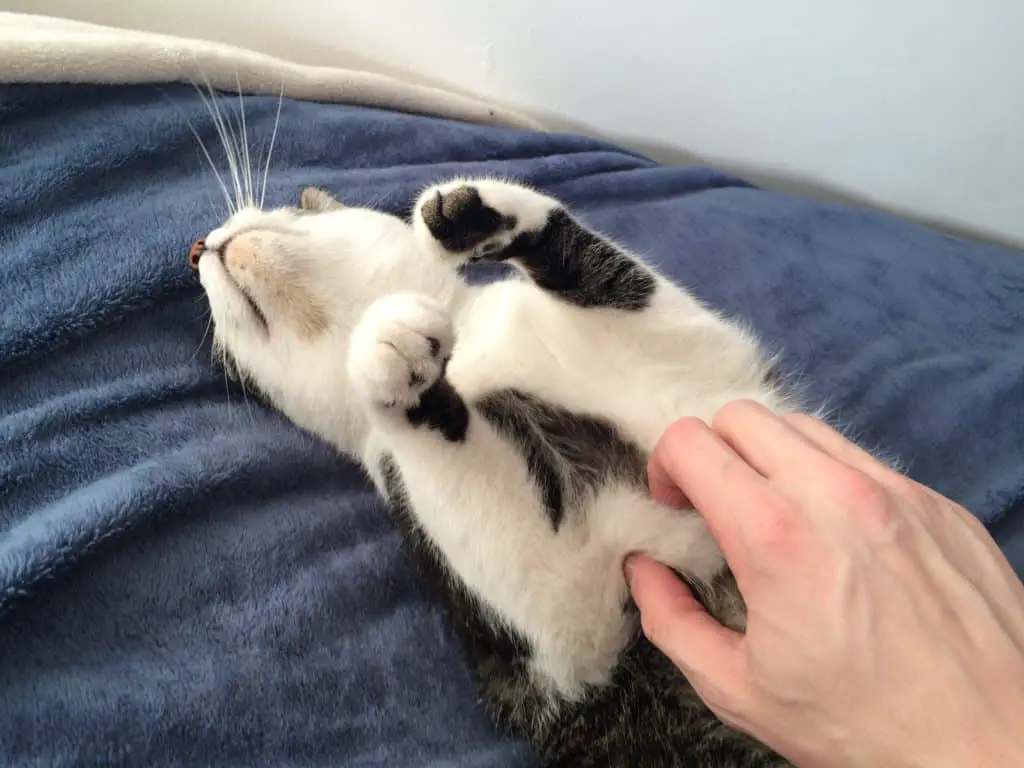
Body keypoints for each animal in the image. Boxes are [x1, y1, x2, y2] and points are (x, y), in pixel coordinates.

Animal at [193, 177, 798, 765]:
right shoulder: (575, 634)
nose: (197, 246)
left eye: (294, 211)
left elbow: (611, 278)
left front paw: (473, 212)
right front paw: (391, 360)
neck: (471, 347)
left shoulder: (707, 379)